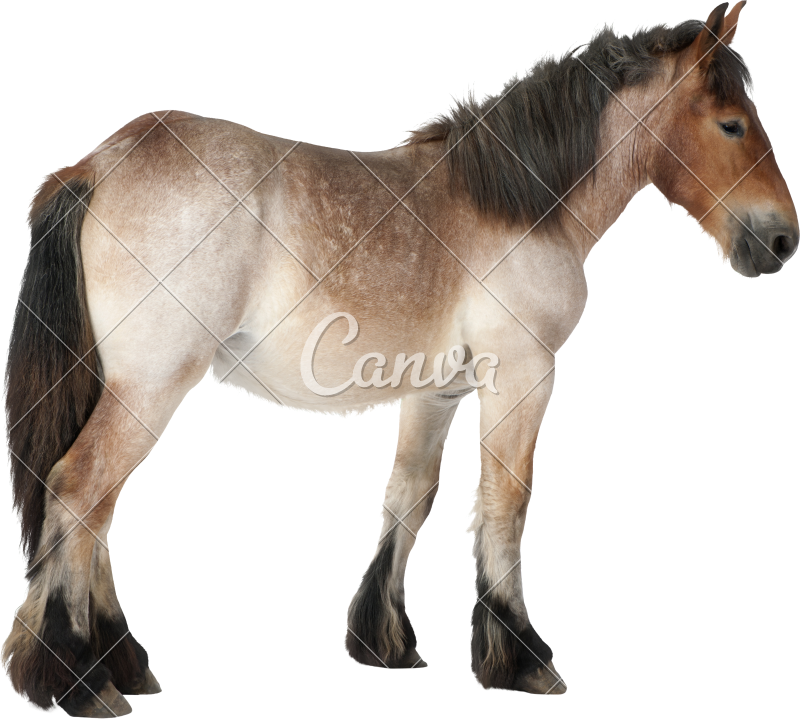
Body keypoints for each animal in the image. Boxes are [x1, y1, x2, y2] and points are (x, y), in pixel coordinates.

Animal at [3, 1, 796, 713]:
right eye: (731, 123)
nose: (782, 240)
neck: (517, 203)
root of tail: (97, 166)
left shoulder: (435, 393)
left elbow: (410, 497)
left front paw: (384, 642)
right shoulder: (523, 377)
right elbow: (506, 501)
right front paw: (520, 660)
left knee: (93, 511)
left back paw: (117, 661)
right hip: (149, 388)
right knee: (79, 490)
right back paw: (77, 680)